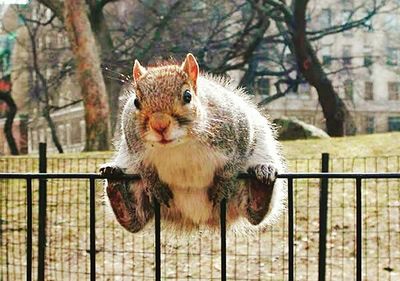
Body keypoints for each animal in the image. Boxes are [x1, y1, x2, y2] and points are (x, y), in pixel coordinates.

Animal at [100, 53, 288, 233]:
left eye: (187, 96)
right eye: (136, 101)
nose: (159, 125)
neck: (180, 144)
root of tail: (198, 217)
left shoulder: (239, 129)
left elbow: (235, 161)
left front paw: (222, 184)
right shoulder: (133, 145)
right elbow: (144, 168)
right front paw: (153, 184)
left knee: (254, 214)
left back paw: (261, 183)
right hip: (136, 184)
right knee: (135, 220)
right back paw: (115, 185)